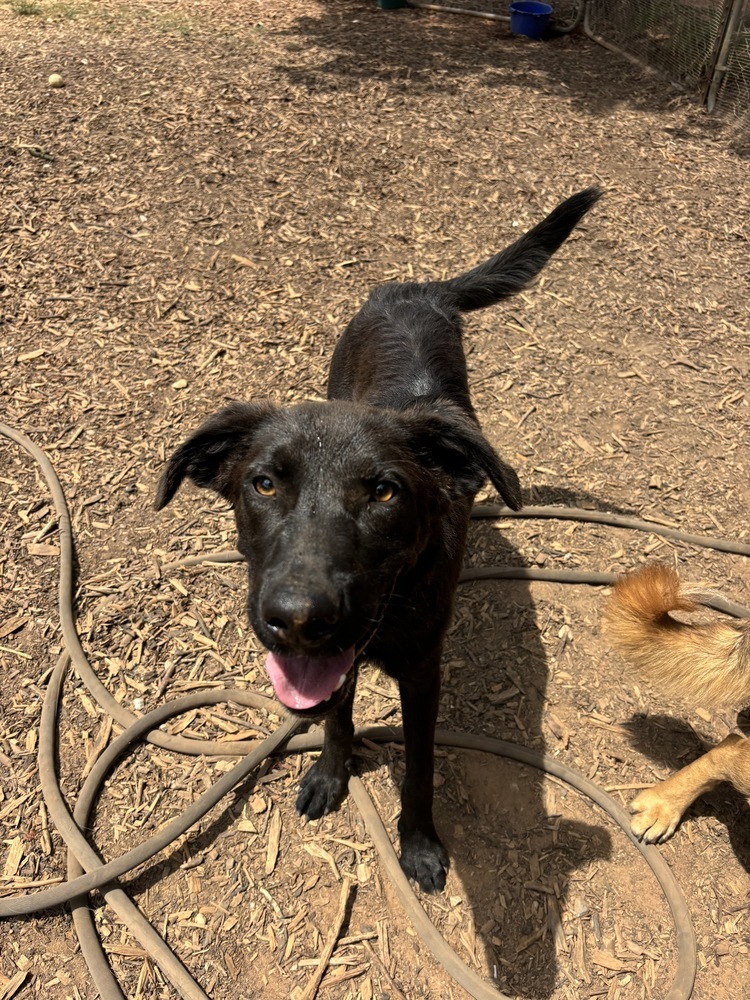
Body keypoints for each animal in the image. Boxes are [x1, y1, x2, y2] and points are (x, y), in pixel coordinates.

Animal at [156, 188, 604, 892]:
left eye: (385, 494)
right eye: (263, 483)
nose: (297, 620)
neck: (394, 606)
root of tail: (413, 289)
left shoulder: (423, 675)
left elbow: (419, 770)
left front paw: (417, 844)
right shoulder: (329, 667)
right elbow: (336, 717)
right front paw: (329, 773)